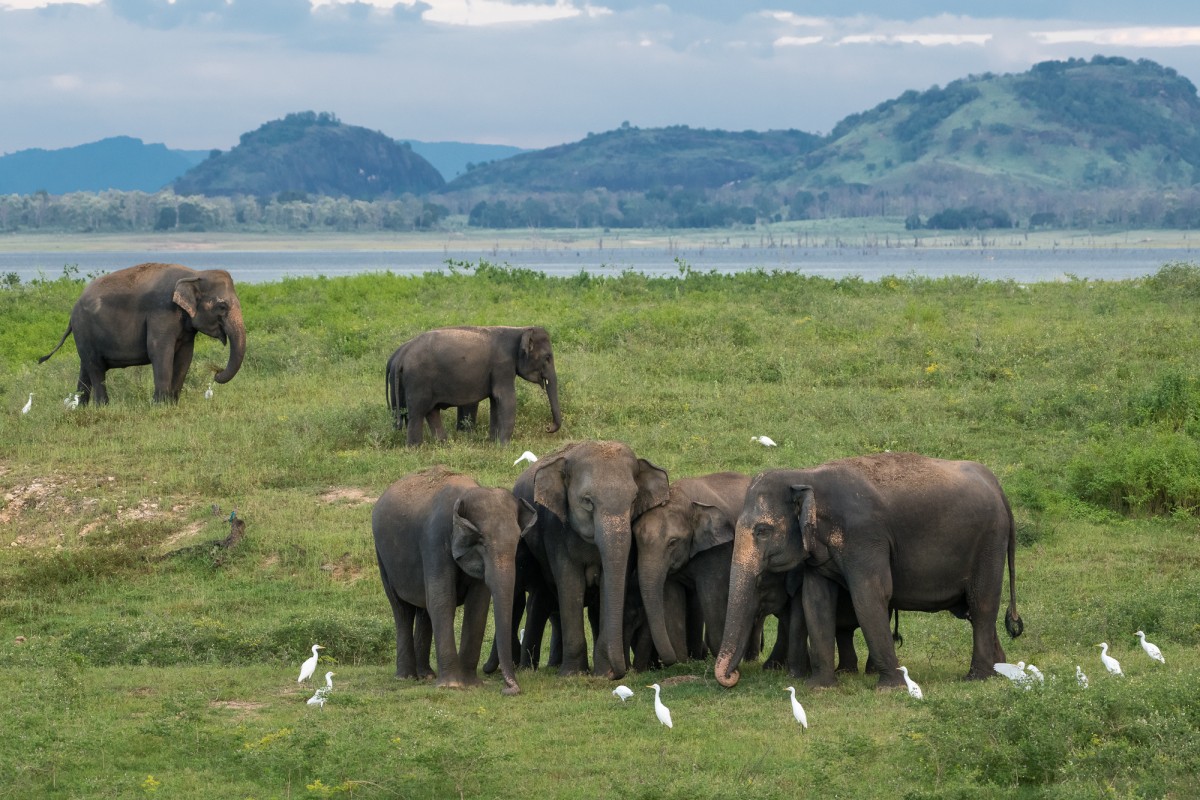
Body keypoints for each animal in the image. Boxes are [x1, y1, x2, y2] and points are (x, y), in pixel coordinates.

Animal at [37, 261, 244, 402]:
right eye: (222, 306)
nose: (217, 373)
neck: (195, 274)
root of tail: (72, 312)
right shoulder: (161, 312)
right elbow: (159, 352)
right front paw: (160, 406)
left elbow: (185, 356)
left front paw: (172, 404)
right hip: (84, 331)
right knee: (95, 367)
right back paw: (102, 406)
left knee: (86, 368)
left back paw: (80, 407)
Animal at [372, 465, 537, 695]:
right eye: (481, 542)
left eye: (517, 542)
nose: (510, 689)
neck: (466, 494)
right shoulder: (434, 540)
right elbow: (443, 599)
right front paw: (451, 685)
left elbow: (477, 604)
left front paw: (471, 684)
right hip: (382, 557)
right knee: (401, 609)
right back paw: (406, 677)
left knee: (424, 610)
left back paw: (426, 675)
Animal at [388, 326, 566, 450]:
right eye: (547, 357)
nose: (548, 428)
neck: (519, 330)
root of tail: (402, 354)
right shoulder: (502, 366)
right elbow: (506, 398)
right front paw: (504, 447)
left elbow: (495, 401)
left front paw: (493, 442)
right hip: (418, 381)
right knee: (418, 412)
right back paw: (415, 449)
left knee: (431, 411)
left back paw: (443, 445)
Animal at [508, 441, 672, 681]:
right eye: (587, 501)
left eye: (634, 500)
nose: (620, 672)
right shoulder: (555, 530)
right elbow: (570, 584)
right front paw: (572, 675)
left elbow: (610, 584)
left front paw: (603, 673)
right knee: (542, 601)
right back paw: (536, 668)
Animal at [710, 453, 1022, 690]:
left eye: (762, 531)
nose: (733, 676)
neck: (808, 475)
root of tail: (997, 486)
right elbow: (816, 601)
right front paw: (820, 687)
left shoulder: (864, 537)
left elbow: (870, 595)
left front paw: (890, 688)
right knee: (973, 610)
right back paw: (999, 669)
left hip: (989, 542)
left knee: (982, 605)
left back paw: (977, 678)